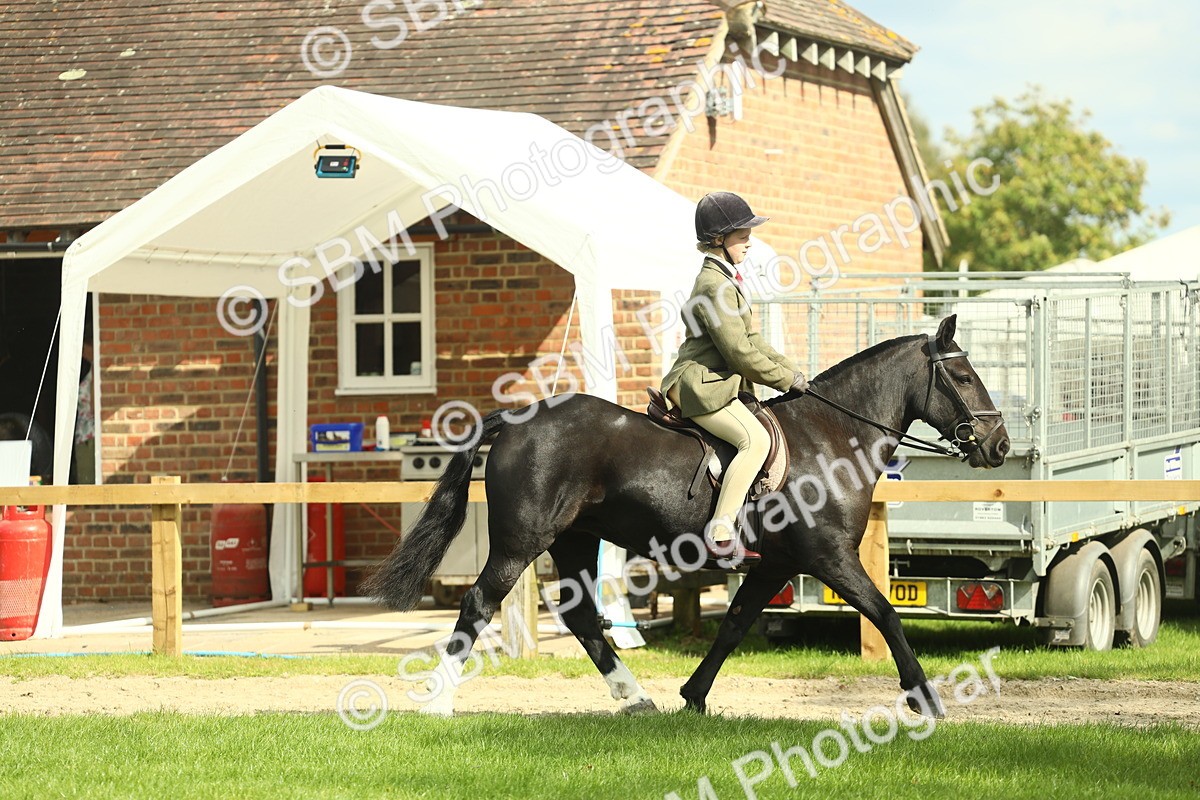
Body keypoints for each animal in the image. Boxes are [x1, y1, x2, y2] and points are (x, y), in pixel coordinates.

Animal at [363, 314, 1011, 717]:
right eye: (962, 375)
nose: (999, 445)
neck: (831, 435)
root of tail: (518, 419)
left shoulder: (774, 565)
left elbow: (734, 625)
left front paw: (693, 696)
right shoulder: (829, 558)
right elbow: (885, 614)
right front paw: (924, 695)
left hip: (574, 541)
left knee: (581, 616)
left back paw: (636, 699)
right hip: (521, 542)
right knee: (479, 604)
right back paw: (439, 703)